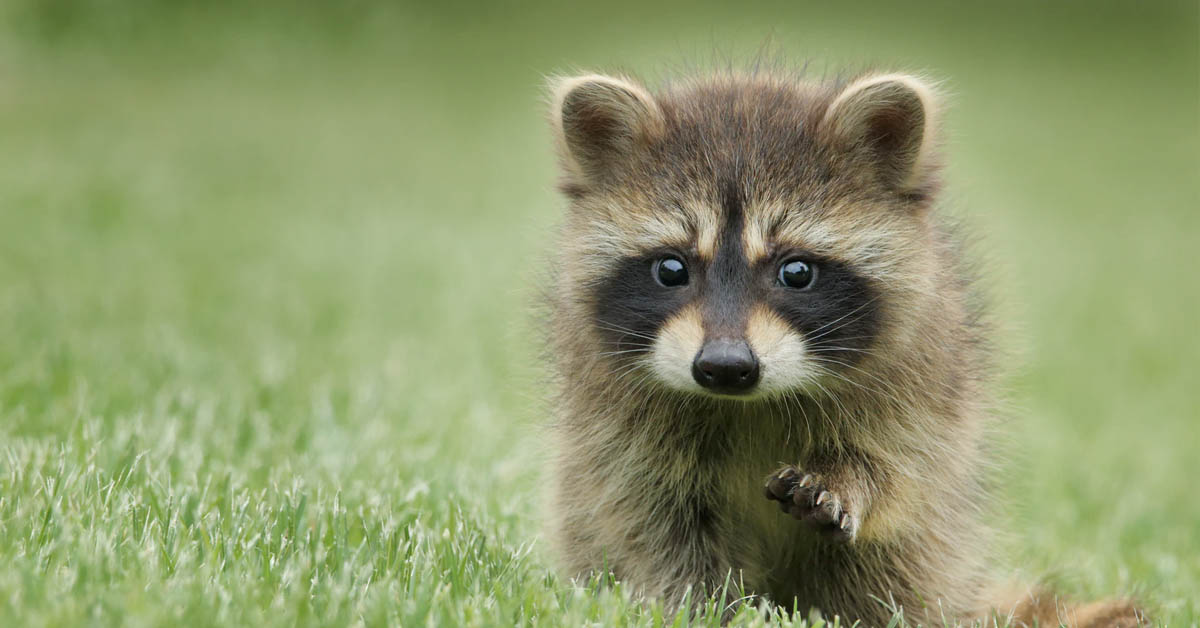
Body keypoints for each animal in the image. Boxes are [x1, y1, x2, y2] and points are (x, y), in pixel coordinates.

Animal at [540, 69, 1137, 628]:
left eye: (796, 271)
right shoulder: (615, 423)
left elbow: (902, 467)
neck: (749, 405)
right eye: (671, 269)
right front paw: (703, 607)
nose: (726, 367)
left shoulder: (924, 375)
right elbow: (652, 522)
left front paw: (851, 479)